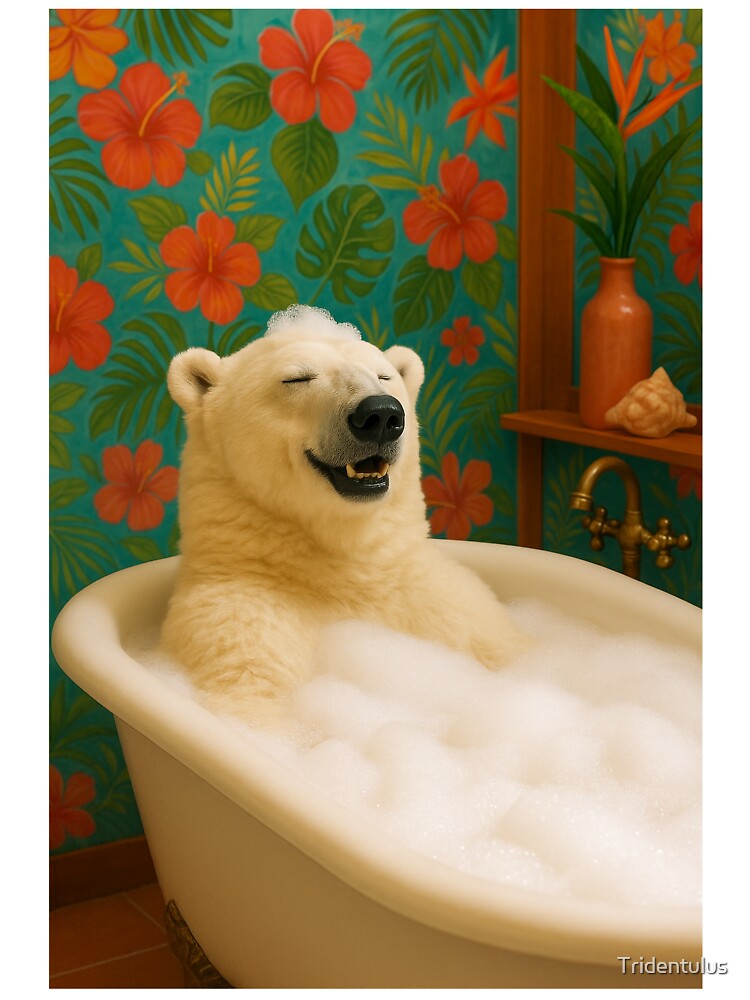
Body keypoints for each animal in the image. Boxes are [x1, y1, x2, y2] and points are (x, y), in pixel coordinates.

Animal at [161, 305, 529, 724]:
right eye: (297, 377)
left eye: (384, 375)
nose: (380, 414)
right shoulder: (239, 621)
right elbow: (253, 688)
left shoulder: (447, 608)